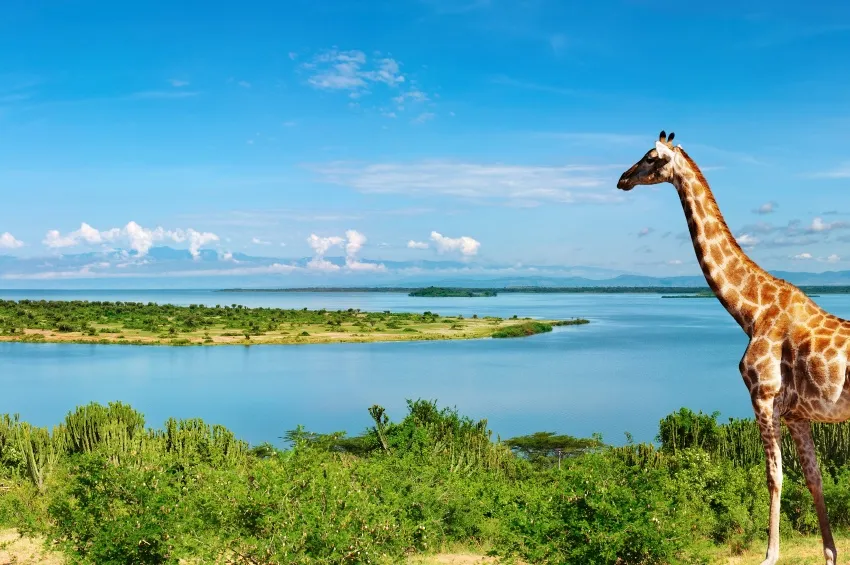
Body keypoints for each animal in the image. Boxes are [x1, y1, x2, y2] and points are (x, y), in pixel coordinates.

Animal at [616, 131, 848, 564]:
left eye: (651, 157)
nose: (622, 179)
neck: (751, 311)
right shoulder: (797, 414)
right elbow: (814, 478)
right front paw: (830, 553)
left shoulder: (763, 396)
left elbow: (774, 476)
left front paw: (770, 555)